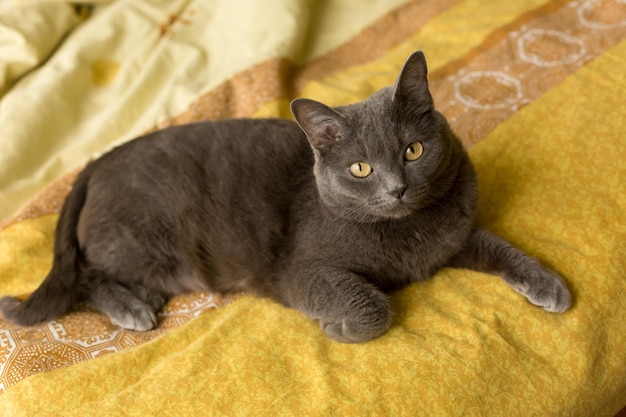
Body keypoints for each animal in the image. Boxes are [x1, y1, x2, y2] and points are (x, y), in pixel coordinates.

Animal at [0, 51, 568, 342]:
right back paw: (131, 309)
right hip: (143, 241)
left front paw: (550, 286)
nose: (397, 188)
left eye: (413, 150)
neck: (407, 234)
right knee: (84, 275)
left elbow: (499, 246)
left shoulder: (455, 237)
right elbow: (372, 305)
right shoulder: (302, 271)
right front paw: (341, 328)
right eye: (360, 168)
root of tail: (98, 160)